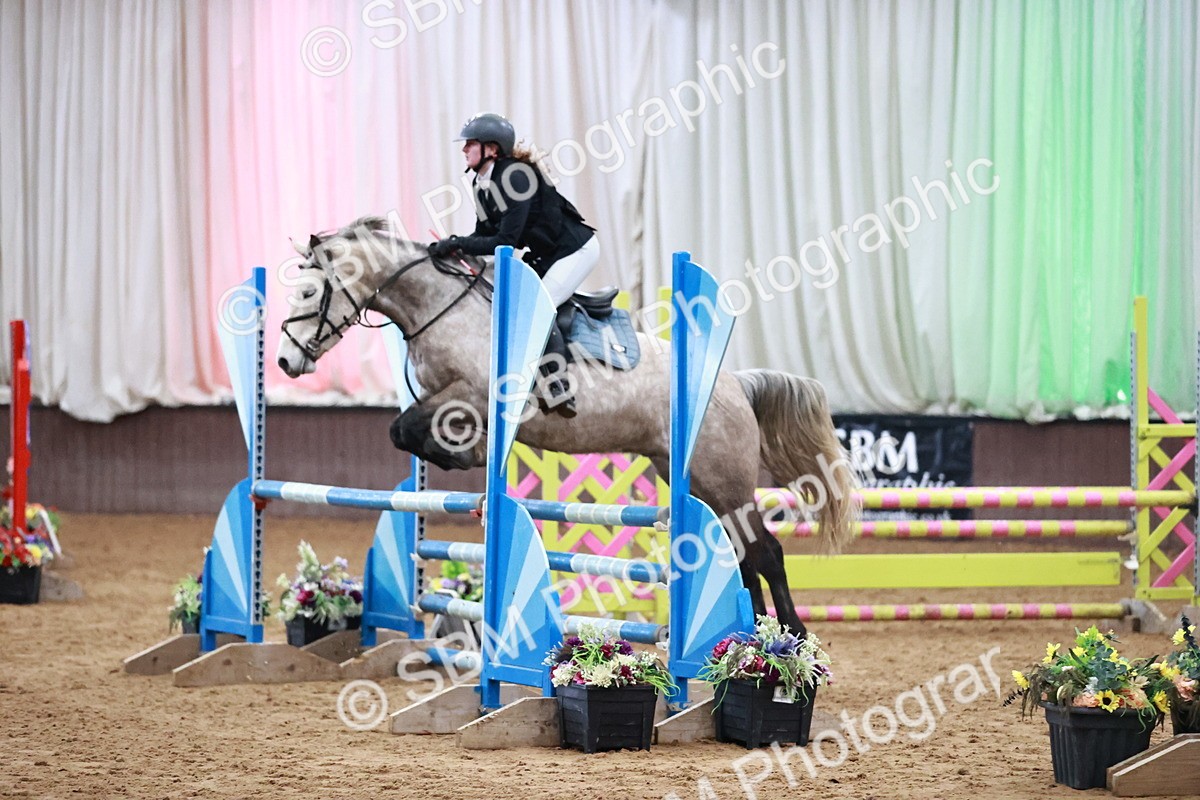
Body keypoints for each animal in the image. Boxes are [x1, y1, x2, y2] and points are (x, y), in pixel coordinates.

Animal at [275, 216, 859, 638]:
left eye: (308, 293)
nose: (284, 361)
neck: (440, 308)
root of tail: (734, 381)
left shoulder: (472, 394)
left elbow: (410, 426)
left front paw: (465, 453)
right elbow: (404, 431)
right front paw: (463, 455)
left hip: (724, 478)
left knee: (766, 553)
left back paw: (790, 639)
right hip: (692, 477)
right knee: (740, 553)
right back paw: (751, 636)